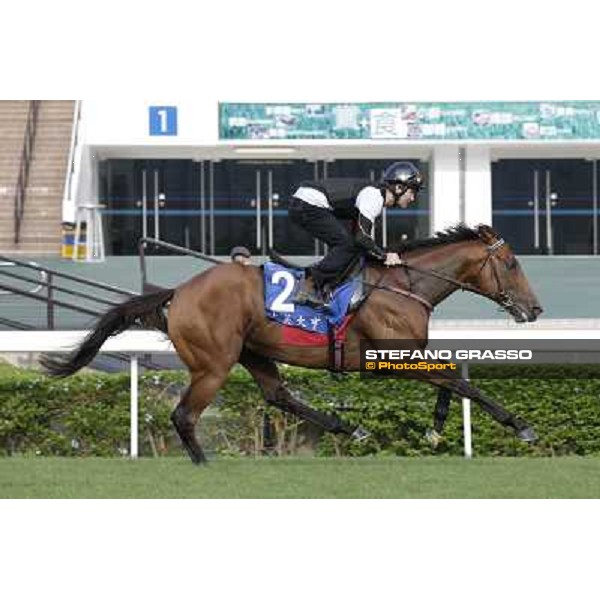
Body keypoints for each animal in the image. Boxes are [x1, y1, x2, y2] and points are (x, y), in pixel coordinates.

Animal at [39, 225, 540, 464]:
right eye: (512, 264)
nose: (534, 309)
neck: (404, 285)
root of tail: (178, 292)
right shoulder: (390, 355)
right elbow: (460, 381)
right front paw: (520, 425)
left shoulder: (406, 355)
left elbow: (450, 380)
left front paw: (436, 429)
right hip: (214, 364)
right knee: (184, 415)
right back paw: (205, 465)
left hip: (253, 352)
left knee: (278, 395)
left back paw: (348, 428)